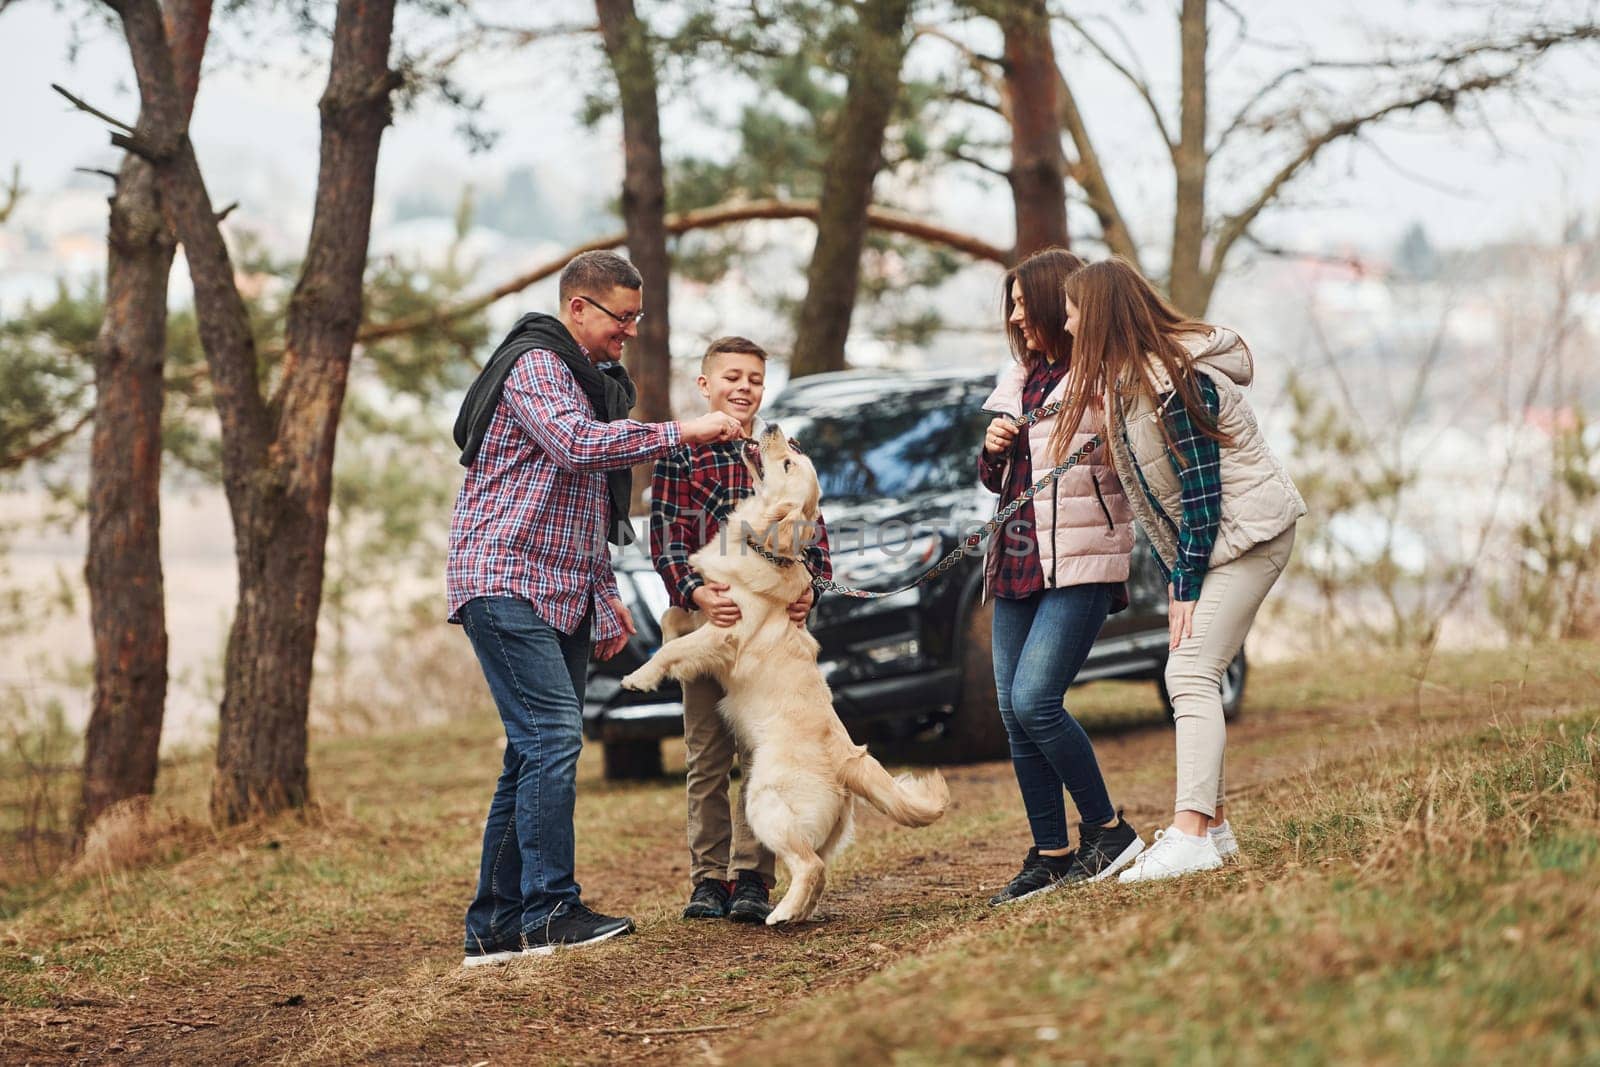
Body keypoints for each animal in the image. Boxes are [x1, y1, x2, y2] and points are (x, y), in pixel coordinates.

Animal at [617, 422, 947, 921]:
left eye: (789, 463)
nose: (775, 429)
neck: (761, 548)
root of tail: (848, 759)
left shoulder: (725, 632)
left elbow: (674, 649)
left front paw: (639, 676)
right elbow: (674, 617)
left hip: (764, 801)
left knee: (810, 866)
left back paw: (780, 912)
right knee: (820, 869)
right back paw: (798, 912)